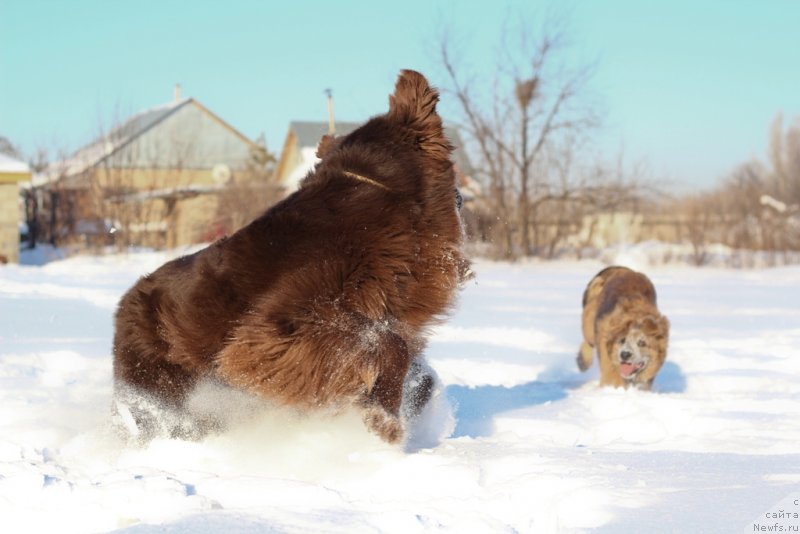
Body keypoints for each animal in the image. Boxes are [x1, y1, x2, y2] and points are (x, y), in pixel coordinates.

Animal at [115, 69, 472, 444]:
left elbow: (412, 363)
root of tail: (125, 301)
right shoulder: (282, 325)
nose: (463, 198)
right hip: (159, 381)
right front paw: (384, 419)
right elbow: (388, 344)